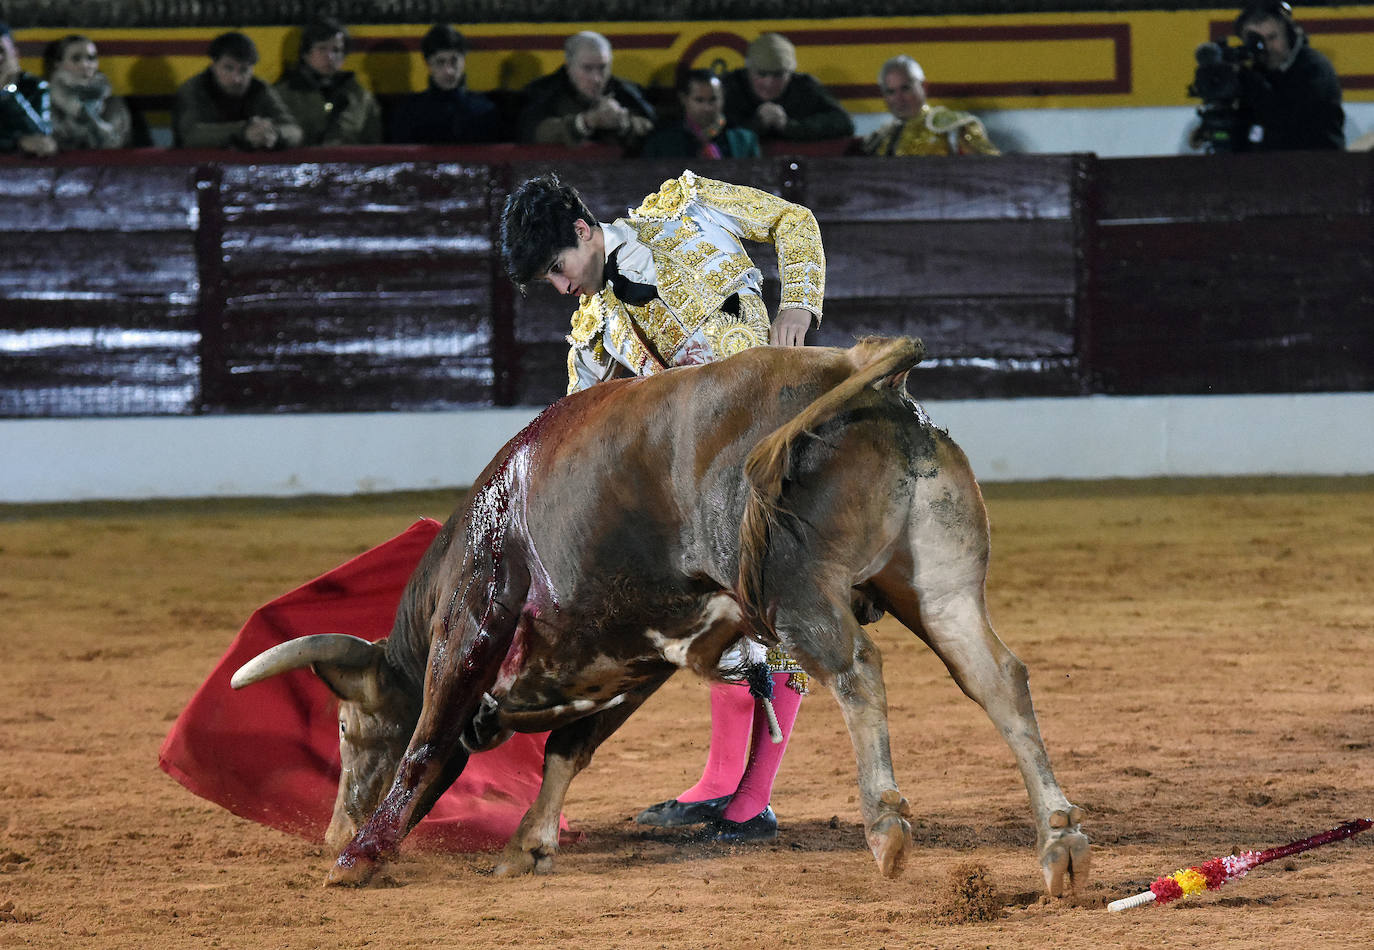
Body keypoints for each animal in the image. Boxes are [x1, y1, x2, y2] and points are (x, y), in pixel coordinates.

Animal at [236, 339, 1093, 890]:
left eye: (348, 728)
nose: (332, 830)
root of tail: (857, 375)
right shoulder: (638, 661)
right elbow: (568, 750)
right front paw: (526, 846)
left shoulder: (476, 622)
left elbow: (428, 743)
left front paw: (361, 858)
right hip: (938, 590)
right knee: (999, 681)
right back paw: (1059, 841)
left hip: (796, 588)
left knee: (856, 670)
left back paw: (886, 825)